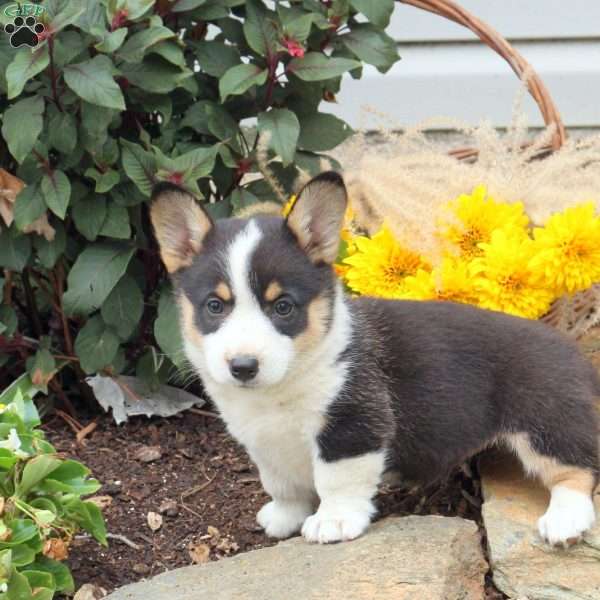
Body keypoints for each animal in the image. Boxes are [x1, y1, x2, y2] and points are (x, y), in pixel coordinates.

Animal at [151, 171, 600, 548]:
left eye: (283, 307)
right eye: (214, 306)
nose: (243, 367)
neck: (285, 383)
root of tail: (574, 354)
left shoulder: (352, 426)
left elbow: (335, 481)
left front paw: (333, 521)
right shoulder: (263, 442)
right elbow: (281, 483)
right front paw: (283, 517)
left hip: (545, 423)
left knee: (579, 467)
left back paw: (564, 521)